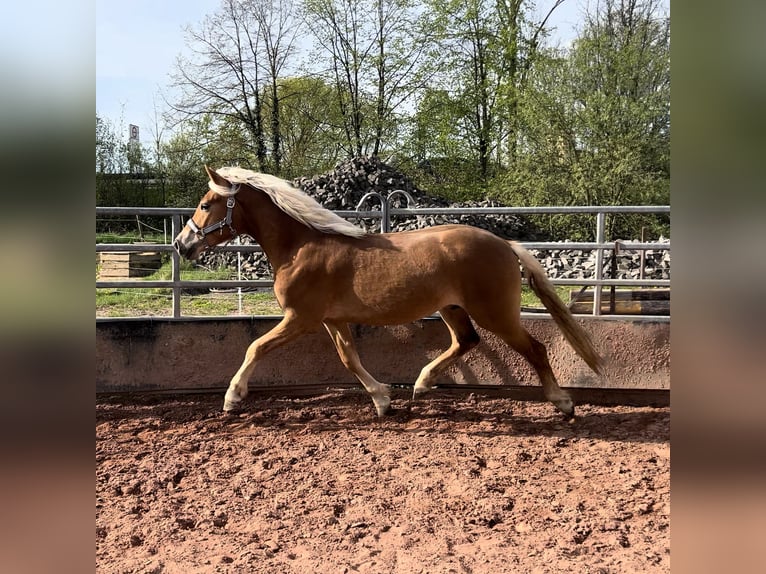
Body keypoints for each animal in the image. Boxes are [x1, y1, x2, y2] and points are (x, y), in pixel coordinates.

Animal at [174, 165, 608, 418]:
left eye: (205, 204)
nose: (182, 245)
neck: (301, 246)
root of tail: (504, 244)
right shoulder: (333, 320)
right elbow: (349, 359)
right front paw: (382, 399)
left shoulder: (300, 318)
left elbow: (255, 347)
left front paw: (232, 398)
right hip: (452, 308)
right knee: (466, 341)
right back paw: (421, 384)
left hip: (496, 312)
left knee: (535, 348)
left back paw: (564, 403)